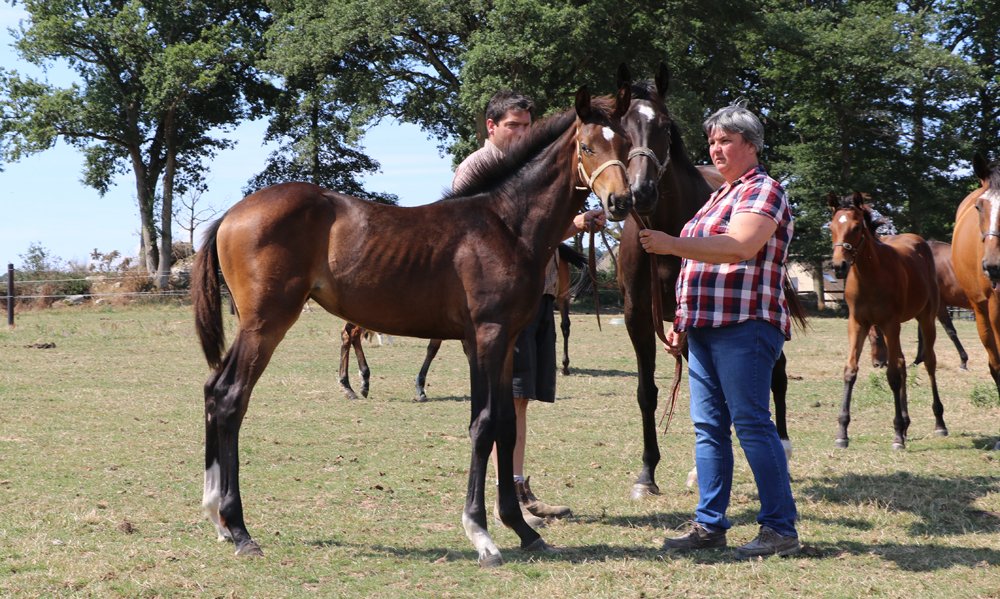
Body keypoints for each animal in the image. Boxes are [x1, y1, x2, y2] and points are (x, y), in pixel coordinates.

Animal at [190, 82, 634, 566]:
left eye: (625, 144)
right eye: (587, 147)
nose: (620, 202)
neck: (506, 224)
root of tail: (231, 215)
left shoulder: (504, 342)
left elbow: (505, 425)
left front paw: (522, 529)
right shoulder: (486, 337)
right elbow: (483, 425)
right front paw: (481, 534)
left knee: (213, 389)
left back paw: (217, 519)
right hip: (266, 324)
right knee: (230, 396)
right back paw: (239, 528)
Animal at [827, 192, 947, 449]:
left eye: (856, 227)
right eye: (831, 227)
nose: (839, 265)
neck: (870, 276)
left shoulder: (889, 324)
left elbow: (892, 374)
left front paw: (897, 435)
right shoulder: (857, 324)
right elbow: (850, 371)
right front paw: (842, 432)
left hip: (926, 318)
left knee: (929, 362)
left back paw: (938, 423)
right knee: (902, 363)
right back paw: (906, 424)